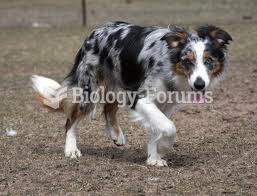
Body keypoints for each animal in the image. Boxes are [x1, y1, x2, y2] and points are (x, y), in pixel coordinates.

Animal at [31, 21, 231, 167]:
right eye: (188, 61)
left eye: (209, 61)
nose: (199, 84)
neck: (170, 65)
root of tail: (94, 32)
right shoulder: (140, 99)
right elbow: (169, 127)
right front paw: (165, 146)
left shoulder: (165, 104)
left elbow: (158, 128)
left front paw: (154, 157)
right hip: (88, 90)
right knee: (71, 121)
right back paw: (71, 149)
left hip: (117, 85)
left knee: (108, 109)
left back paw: (116, 134)